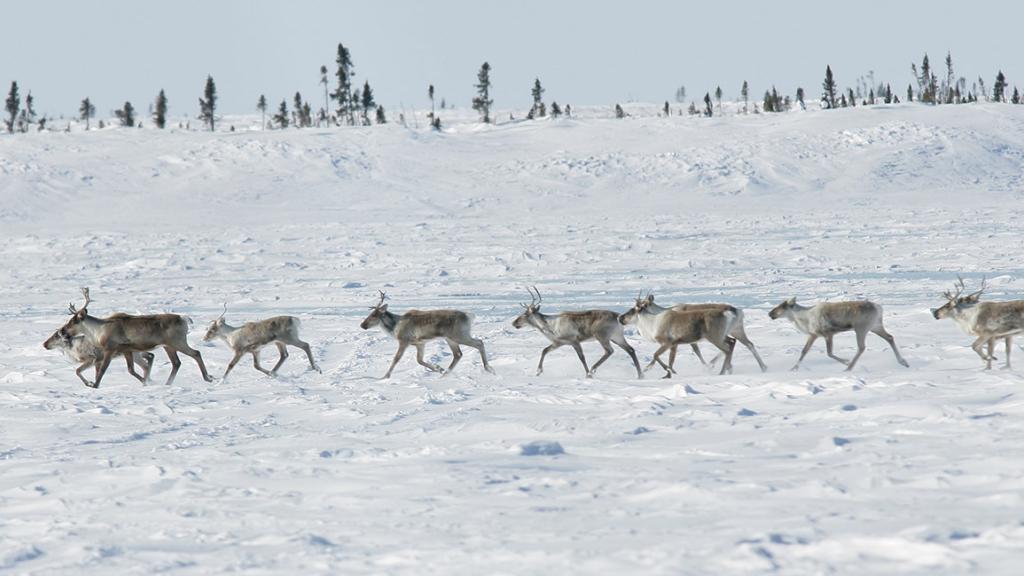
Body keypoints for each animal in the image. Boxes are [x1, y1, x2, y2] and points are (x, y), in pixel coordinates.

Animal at [56, 288, 213, 388]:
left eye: (73, 322)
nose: (62, 331)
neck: (98, 331)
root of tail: (184, 319)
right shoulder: (127, 350)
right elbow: (131, 369)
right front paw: (145, 381)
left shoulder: (111, 349)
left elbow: (103, 370)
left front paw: (94, 385)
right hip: (168, 346)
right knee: (176, 363)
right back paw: (168, 383)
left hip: (177, 342)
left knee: (196, 353)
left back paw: (207, 378)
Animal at [360, 291, 495, 378]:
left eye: (374, 315)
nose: (362, 325)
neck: (394, 327)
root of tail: (469, 316)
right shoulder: (420, 343)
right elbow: (419, 360)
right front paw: (438, 368)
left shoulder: (404, 341)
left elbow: (396, 359)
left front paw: (385, 376)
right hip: (450, 339)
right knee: (458, 354)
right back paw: (445, 373)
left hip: (458, 335)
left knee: (479, 343)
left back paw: (489, 368)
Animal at [511, 287, 643, 378]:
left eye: (525, 314)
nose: (514, 323)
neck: (550, 327)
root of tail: (618, 317)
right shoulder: (558, 343)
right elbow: (544, 350)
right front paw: (538, 371)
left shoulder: (574, 341)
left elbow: (582, 357)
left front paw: (587, 374)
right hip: (616, 336)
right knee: (630, 349)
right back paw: (640, 375)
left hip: (601, 335)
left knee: (609, 351)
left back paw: (592, 370)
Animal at [769, 297, 909, 371]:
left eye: (782, 306)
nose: (770, 313)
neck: (804, 318)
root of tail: (879, 308)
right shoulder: (813, 335)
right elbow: (804, 351)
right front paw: (793, 368)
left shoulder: (827, 334)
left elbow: (829, 353)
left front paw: (846, 361)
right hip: (875, 326)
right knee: (890, 337)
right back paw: (903, 362)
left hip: (861, 328)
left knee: (861, 347)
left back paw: (849, 368)